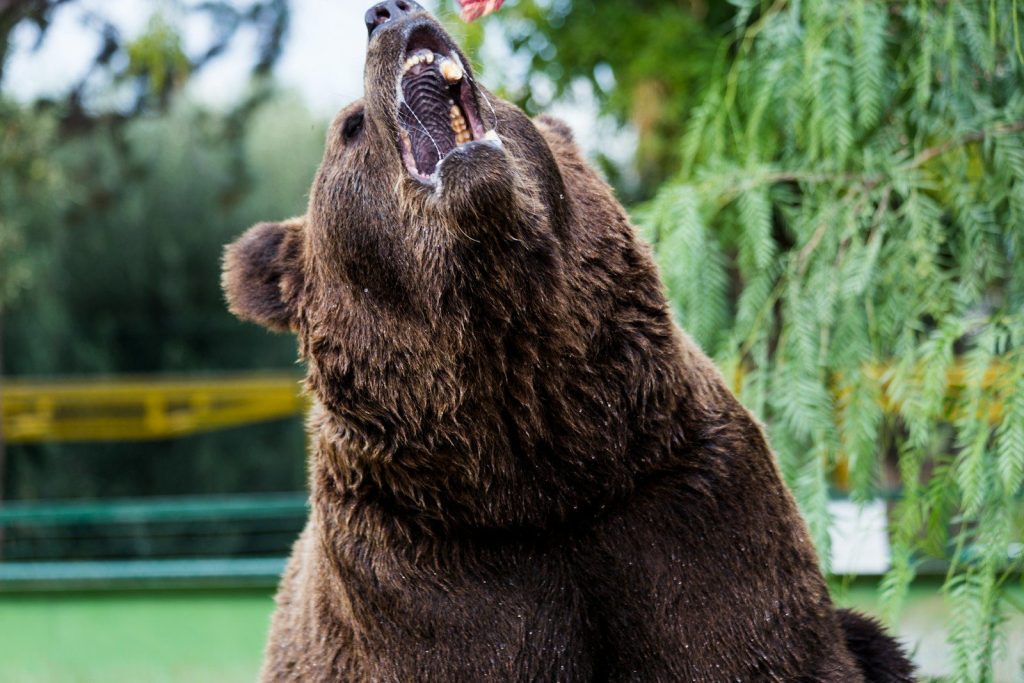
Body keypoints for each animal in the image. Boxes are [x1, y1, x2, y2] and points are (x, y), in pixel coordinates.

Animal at [222, 2, 915, 681]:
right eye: (351, 127)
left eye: (504, 98)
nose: (389, 12)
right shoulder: (428, 571)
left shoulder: (689, 507)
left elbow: (747, 642)